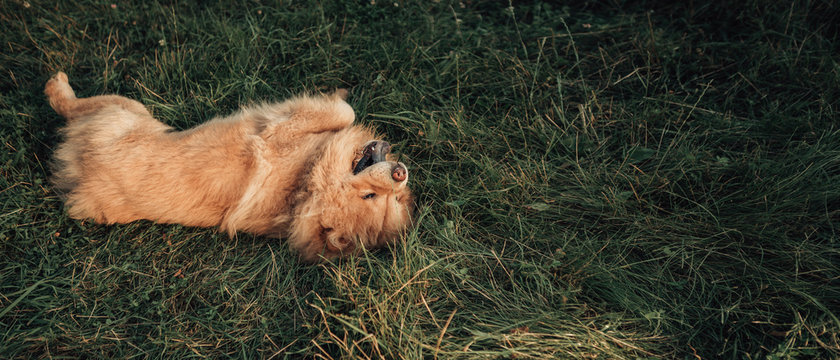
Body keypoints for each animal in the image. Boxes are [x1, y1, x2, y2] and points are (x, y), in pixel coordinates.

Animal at [46, 71, 414, 262]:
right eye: (371, 196)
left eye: (388, 199)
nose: (400, 175)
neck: (303, 187)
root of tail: (79, 172)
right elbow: (345, 112)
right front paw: (340, 92)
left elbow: (341, 113)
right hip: (130, 110)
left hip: (124, 111)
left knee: (70, 106)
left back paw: (57, 85)